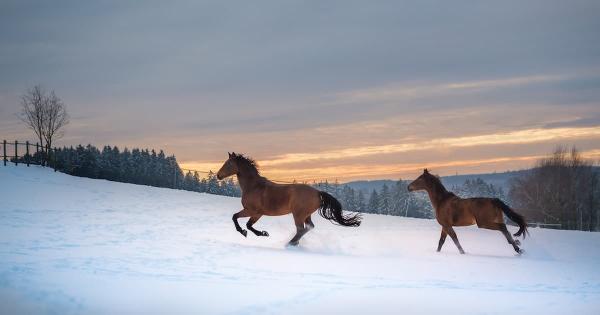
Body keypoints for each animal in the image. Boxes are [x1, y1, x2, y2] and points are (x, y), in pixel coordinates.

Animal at [214, 153, 358, 247]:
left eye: (228, 163)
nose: (218, 175)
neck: (253, 186)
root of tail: (318, 192)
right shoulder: (256, 213)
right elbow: (247, 224)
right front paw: (261, 233)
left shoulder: (253, 211)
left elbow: (238, 219)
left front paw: (254, 233)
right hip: (306, 215)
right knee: (308, 227)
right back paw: (294, 243)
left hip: (298, 214)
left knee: (300, 229)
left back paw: (290, 244)